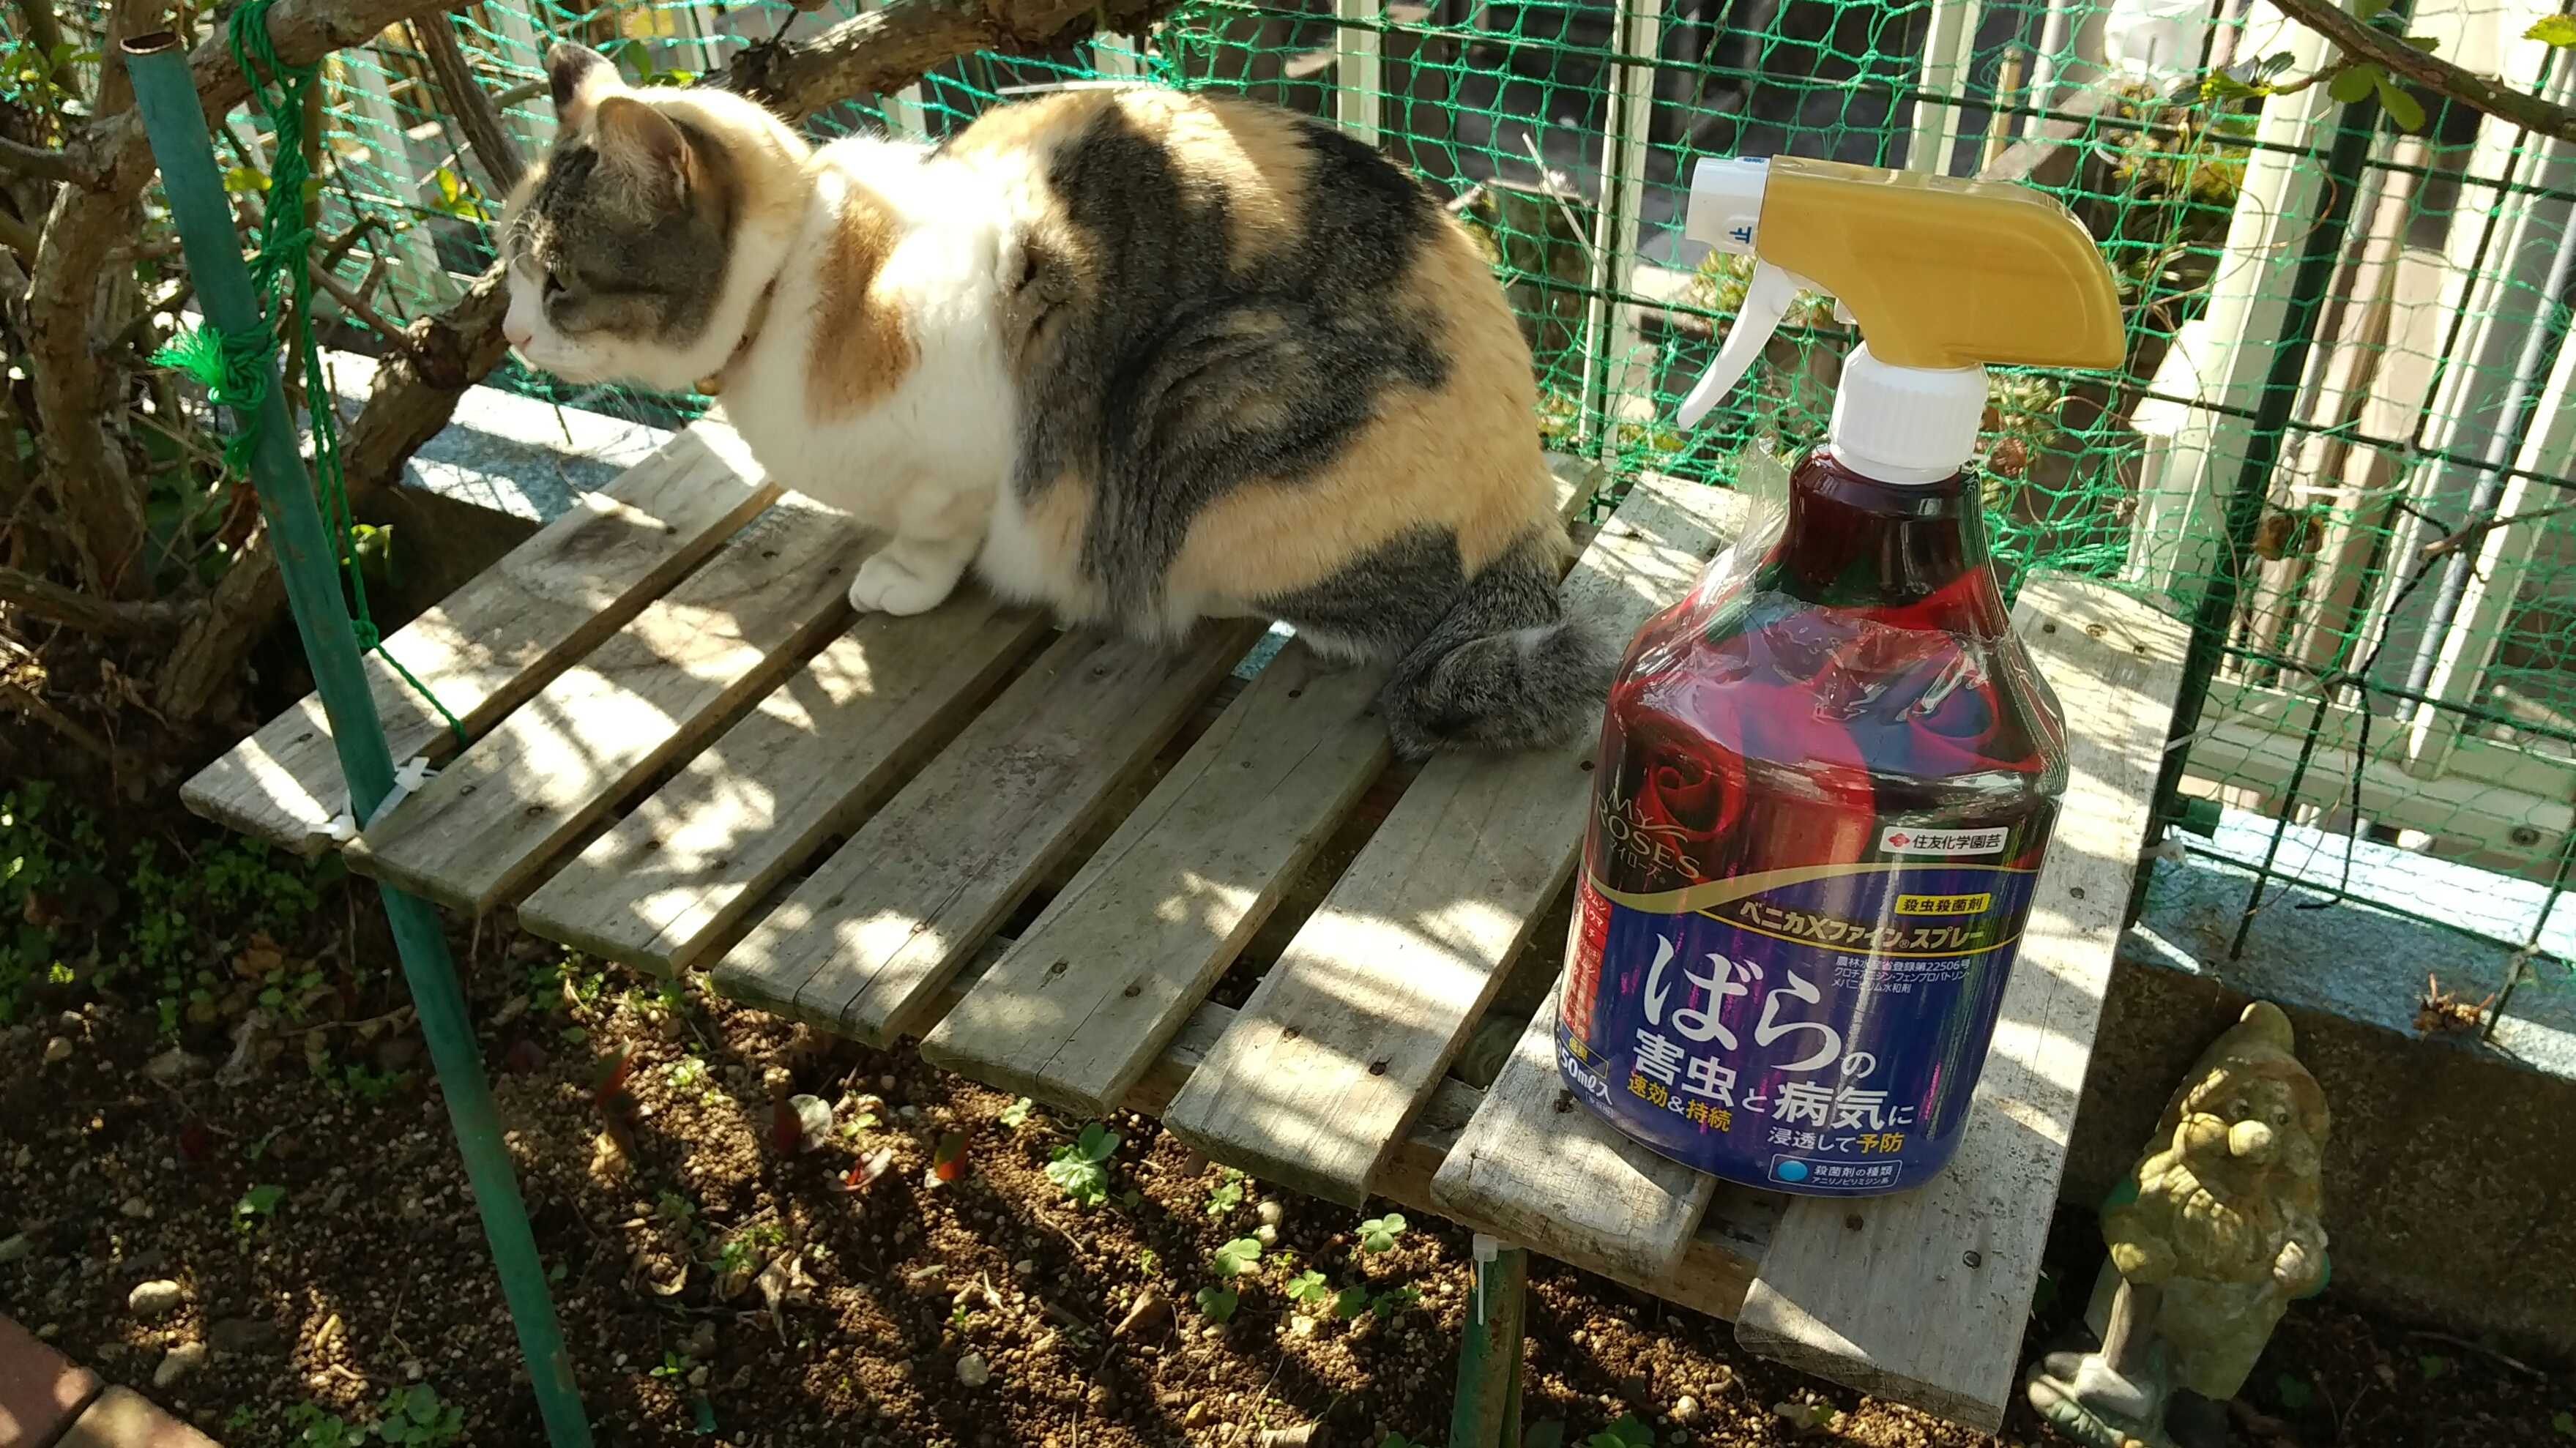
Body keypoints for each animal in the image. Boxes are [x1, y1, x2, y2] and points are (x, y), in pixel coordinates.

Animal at [500, 44, 1610, 756]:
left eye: (556, 281)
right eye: (510, 272)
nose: (508, 332)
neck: (807, 271)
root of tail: (1525, 505)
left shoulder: (967, 455)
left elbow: (938, 532)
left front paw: (900, 577)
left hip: (1201, 391)